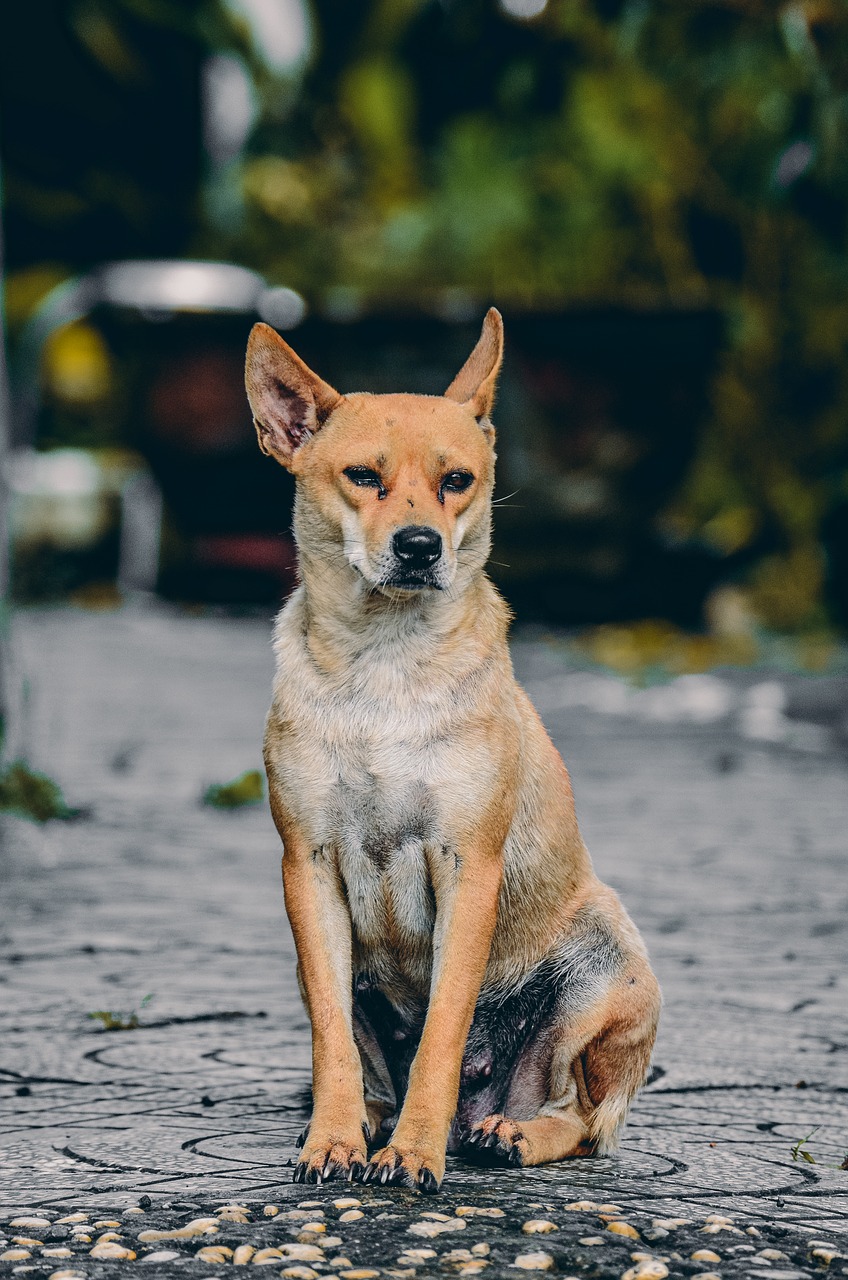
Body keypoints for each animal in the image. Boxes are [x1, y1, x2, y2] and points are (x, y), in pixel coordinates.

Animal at [242, 307, 660, 1187]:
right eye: (362, 476)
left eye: (458, 480)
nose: (419, 546)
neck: (384, 667)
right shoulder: (308, 869)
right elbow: (332, 1038)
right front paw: (334, 1139)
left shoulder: (468, 866)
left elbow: (440, 1030)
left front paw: (413, 1154)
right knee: (372, 1067)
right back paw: (376, 1116)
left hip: (604, 967)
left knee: (581, 1116)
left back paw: (508, 1134)